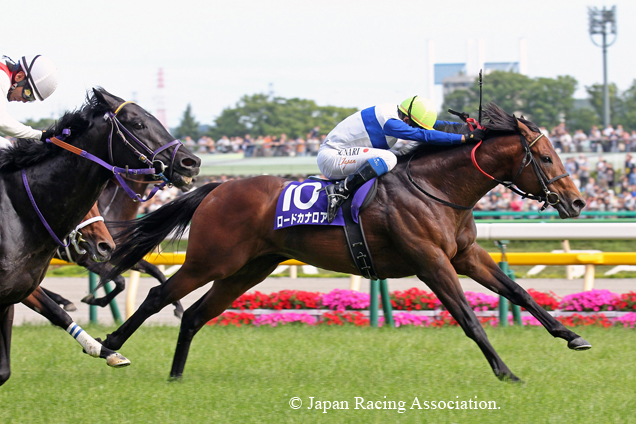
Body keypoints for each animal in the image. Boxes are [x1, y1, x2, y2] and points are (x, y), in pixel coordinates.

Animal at [0, 88, 200, 384]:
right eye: (138, 124)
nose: (191, 163)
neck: (19, 209)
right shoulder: (86, 258)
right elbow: (119, 281)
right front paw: (93, 300)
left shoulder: (117, 252)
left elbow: (151, 272)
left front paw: (175, 308)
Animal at [103, 102, 588, 380]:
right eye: (546, 158)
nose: (578, 201)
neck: (438, 189)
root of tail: (217, 188)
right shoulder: (431, 262)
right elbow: (468, 317)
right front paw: (506, 372)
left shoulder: (466, 254)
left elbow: (518, 292)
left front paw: (571, 336)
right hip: (212, 260)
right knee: (161, 296)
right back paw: (111, 346)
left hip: (248, 269)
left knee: (195, 315)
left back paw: (176, 376)